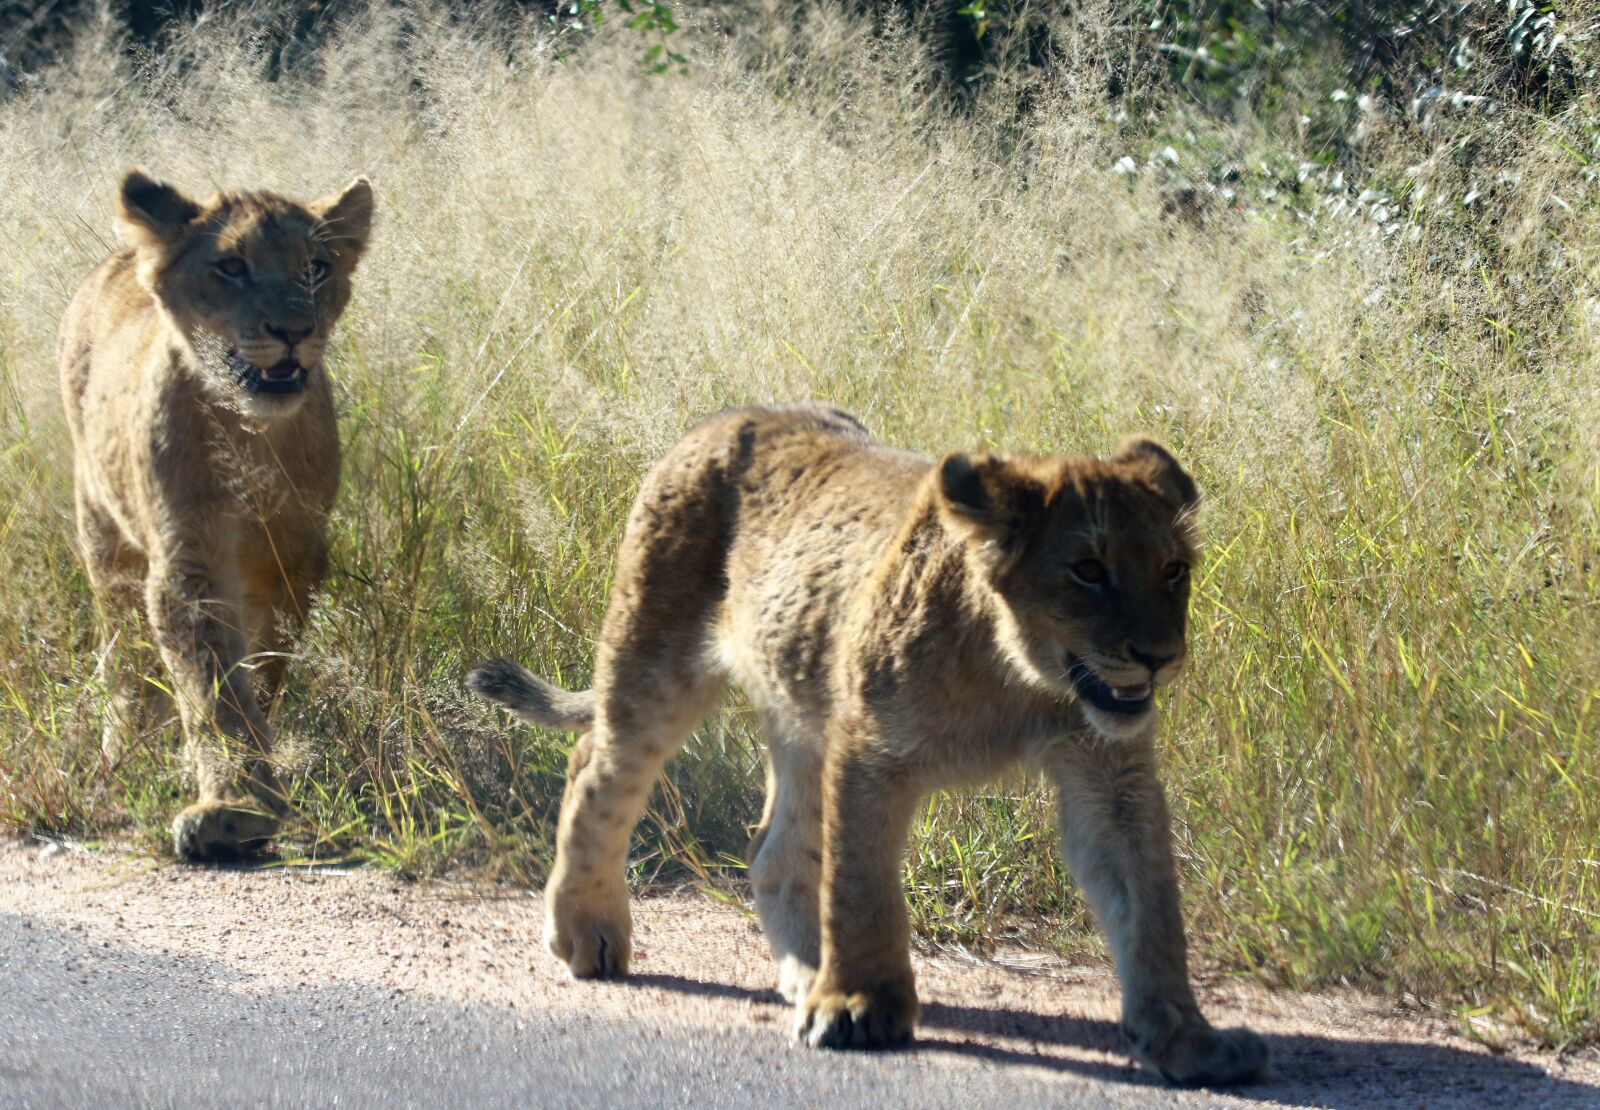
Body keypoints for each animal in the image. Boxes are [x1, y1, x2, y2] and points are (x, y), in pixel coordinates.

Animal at [58, 168, 373, 861]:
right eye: (232, 266)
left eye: (315, 267)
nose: (294, 329)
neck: (249, 431)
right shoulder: (188, 560)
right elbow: (214, 685)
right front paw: (235, 807)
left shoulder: (297, 558)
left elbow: (262, 665)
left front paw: (245, 788)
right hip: (102, 529)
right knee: (122, 656)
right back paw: (120, 756)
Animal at [468, 403, 1268, 1085]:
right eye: (1089, 570)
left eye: (1173, 569)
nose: (1160, 656)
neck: (1018, 676)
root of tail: (728, 416)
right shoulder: (871, 748)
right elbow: (862, 888)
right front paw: (858, 1006)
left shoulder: (1107, 769)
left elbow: (1148, 900)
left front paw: (1185, 1037)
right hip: (655, 663)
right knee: (597, 769)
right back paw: (589, 932)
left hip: (801, 705)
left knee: (772, 848)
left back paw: (804, 971)